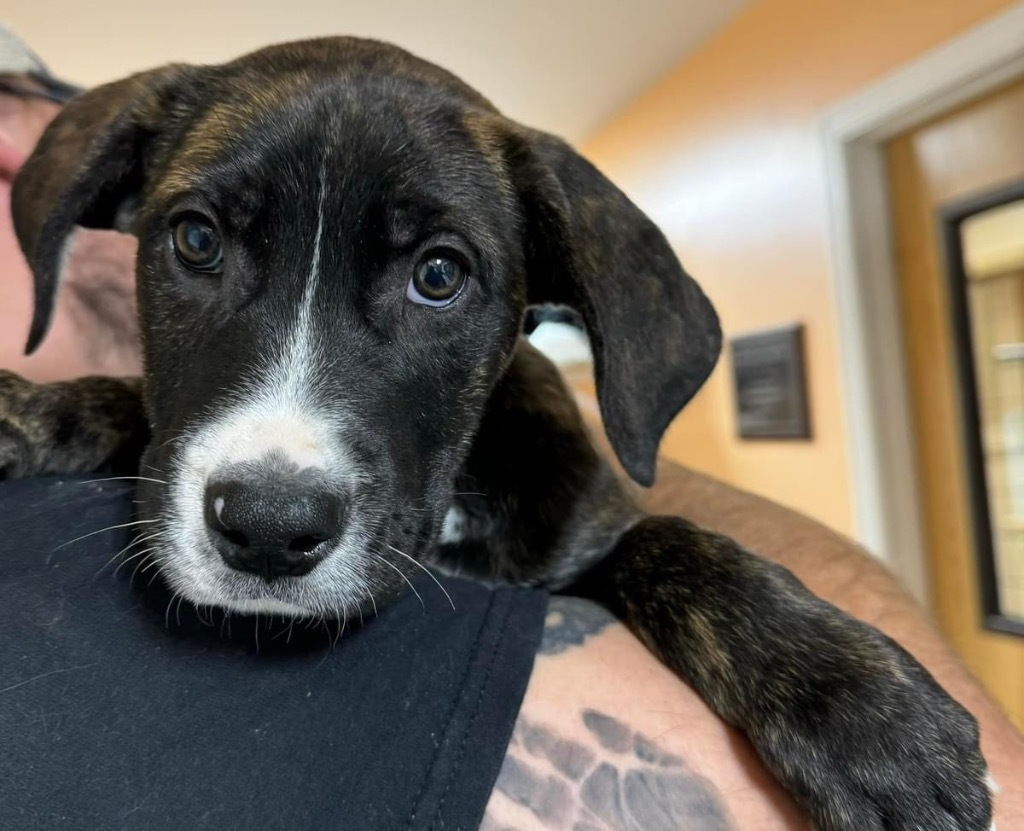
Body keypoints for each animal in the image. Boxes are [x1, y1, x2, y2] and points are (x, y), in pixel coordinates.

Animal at [0, 38, 991, 831]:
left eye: (440, 276)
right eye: (196, 240)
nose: (270, 530)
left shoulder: (586, 524)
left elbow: (672, 542)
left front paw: (857, 705)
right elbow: (138, 406)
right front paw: (40, 411)